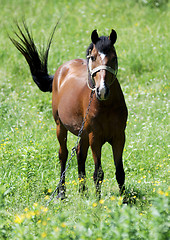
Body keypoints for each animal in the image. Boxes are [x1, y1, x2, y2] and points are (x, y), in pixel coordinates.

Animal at [9, 22, 127, 199]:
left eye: (114, 57)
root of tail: (61, 69)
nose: (102, 90)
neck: (106, 105)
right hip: (61, 126)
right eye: (93, 57)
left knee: (79, 154)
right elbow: (98, 173)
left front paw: (124, 201)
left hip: (82, 132)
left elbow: (120, 172)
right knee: (63, 154)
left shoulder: (119, 136)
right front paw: (98, 202)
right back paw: (61, 192)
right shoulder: (95, 138)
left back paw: (82, 191)